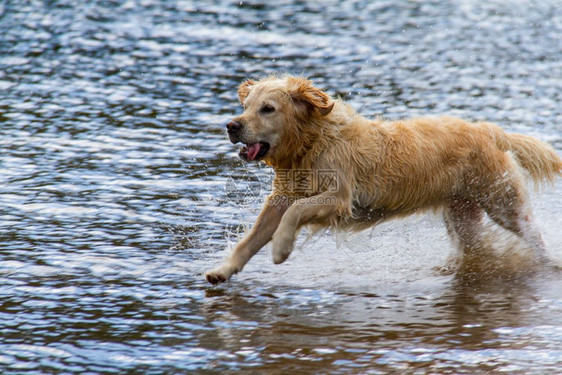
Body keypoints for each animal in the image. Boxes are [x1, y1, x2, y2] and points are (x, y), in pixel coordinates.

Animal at [203, 75, 556, 284]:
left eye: (268, 108)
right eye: (245, 106)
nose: (231, 125)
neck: (313, 142)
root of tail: (488, 130)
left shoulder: (338, 198)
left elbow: (295, 212)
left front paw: (281, 248)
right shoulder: (281, 197)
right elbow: (252, 237)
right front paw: (223, 269)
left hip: (503, 203)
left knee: (534, 235)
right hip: (463, 215)